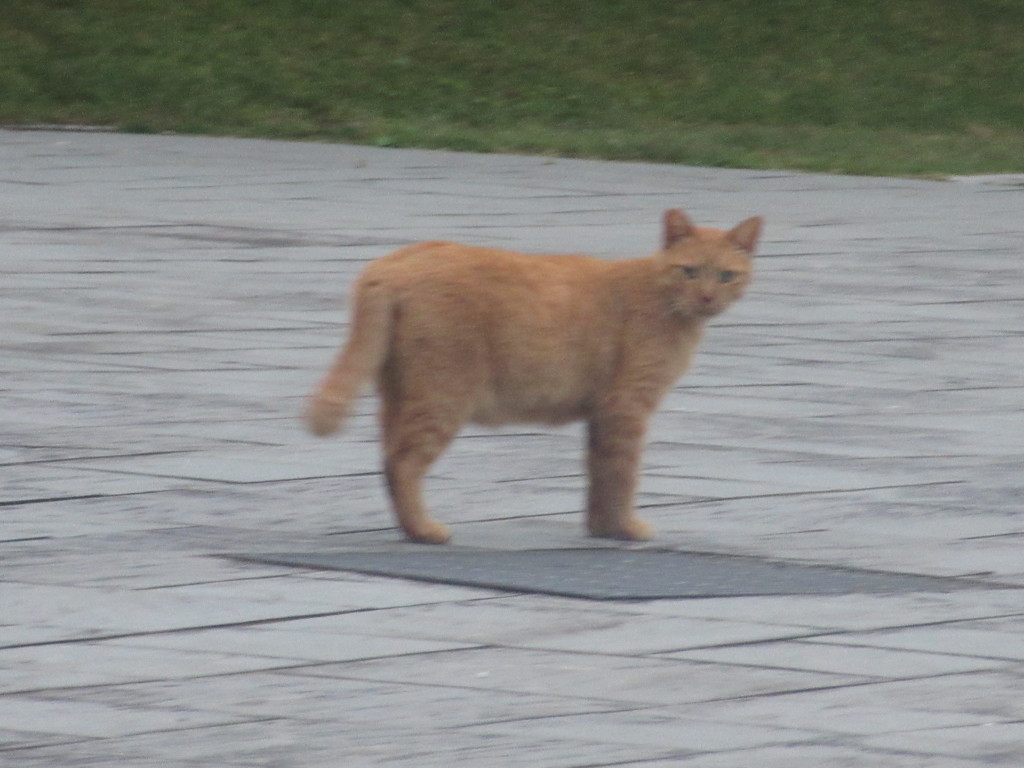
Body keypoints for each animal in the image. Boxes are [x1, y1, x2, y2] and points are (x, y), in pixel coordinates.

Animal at [303, 210, 761, 544]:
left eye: (726, 276)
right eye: (689, 271)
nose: (707, 297)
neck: (662, 300)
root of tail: (394, 261)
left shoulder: (603, 414)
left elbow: (599, 474)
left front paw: (601, 530)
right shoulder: (627, 407)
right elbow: (623, 475)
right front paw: (627, 529)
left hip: (399, 395)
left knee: (386, 463)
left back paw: (409, 528)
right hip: (443, 395)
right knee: (403, 463)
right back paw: (425, 531)